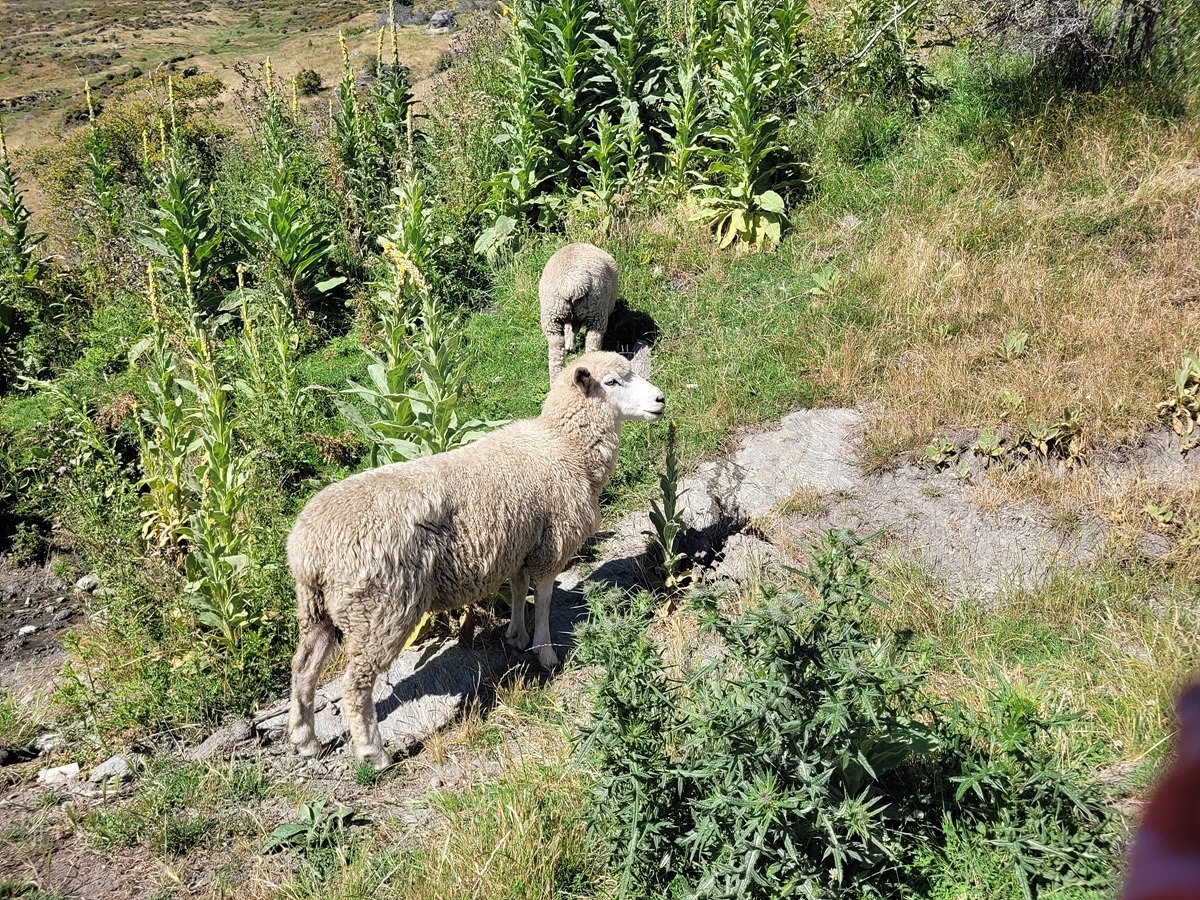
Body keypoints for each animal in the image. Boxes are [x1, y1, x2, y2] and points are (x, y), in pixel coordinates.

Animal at [286, 351, 666, 769]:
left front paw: (517, 636)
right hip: (379, 609)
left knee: (303, 669)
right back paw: (374, 753)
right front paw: (545, 651)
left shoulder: (520, 545)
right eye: (611, 382)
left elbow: (518, 590)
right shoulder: (551, 545)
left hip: (319, 607)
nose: (660, 400)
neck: (562, 444)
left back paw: (305, 740)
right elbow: (544, 600)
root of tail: (307, 548)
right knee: (354, 684)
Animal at [539, 242, 618, 381]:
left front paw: (569, 344)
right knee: (592, 344)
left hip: (551, 318)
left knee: (556, 355)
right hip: (597, 314)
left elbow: (571, 329)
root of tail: (572, 284)